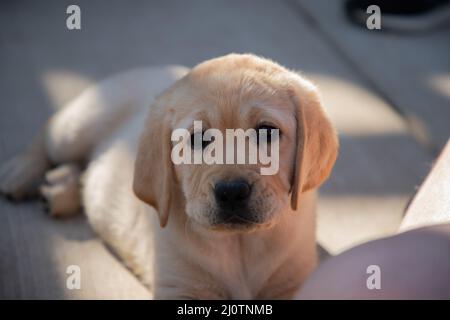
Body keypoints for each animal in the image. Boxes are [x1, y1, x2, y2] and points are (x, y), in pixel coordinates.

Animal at [0, 53, 338, 298]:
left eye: (267, 132)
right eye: (198, 138)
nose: (231, 191)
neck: (239, 245)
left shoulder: (295, 281)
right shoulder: (179, 286)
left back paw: (61, 189)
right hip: (77, 127)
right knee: (48, 135)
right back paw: (21, 172)